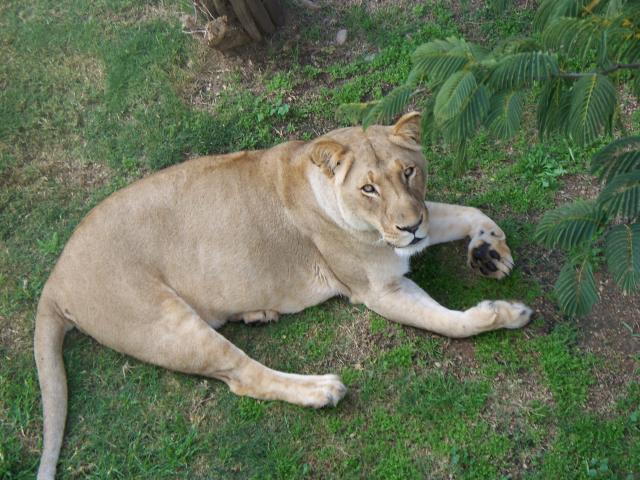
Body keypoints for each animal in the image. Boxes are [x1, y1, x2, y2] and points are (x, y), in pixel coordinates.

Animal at [34, 112, 531, 479]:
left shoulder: (418, 227)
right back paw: (320, 390)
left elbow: (471, 211)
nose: (409, 227)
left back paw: (257, 314)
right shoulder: (377, 289)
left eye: (409, 171)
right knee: (242, 376)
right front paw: (505, 313)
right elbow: (451, 323)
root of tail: (54, 279)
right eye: (368, 188)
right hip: (166, 321)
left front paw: (489, 253)